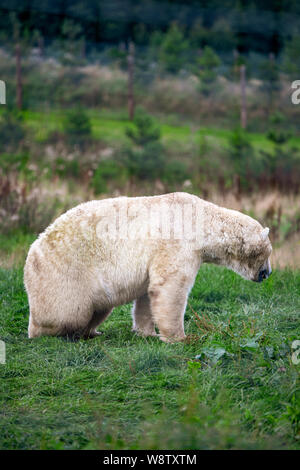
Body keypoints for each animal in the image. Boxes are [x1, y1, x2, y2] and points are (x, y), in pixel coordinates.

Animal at [23, 193, 272, 344]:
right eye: (268, 253)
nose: (267, 273)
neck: (201, 221)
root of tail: (31, 254)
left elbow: (147, 294)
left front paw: (146, 332)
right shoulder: (177, 245)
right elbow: (170, 288)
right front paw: (179, 337)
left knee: (99, 308)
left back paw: (93, 331)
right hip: (64, 275)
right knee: (69, 313)